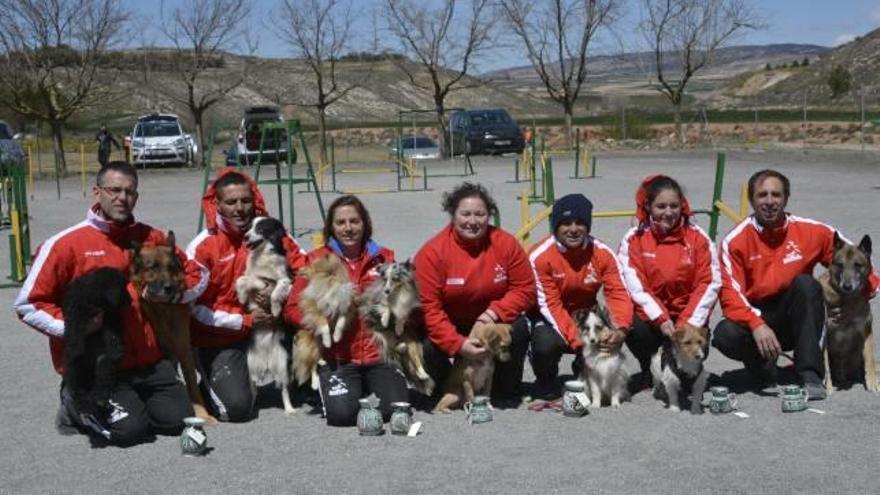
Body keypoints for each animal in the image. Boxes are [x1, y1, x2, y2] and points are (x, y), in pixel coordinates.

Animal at [62, 270, 131, 416]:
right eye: (123, 288)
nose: (130, 300)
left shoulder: (111, 317)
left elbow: (111, 334)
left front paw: (116, 346)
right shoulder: (76, 306)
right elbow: (75, 325)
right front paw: (75, 347)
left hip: (103, 365)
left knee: (103, 369)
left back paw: (98, 400)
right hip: (74, 369)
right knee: (77, 385)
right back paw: (83, 403)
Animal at [130, 231, 217, 424]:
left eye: (170, 267)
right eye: (152, 267)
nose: (169, 287)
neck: (164, 309)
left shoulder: (183, 348)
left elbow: (191, 382)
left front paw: (202, 415)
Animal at [360, 262, 434, 398]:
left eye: (395, 279)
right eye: (385, 279)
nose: (386, 291)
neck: (397, 293)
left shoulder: (407, 306)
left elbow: (401, 315)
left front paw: (399, 327)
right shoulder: (371, 302)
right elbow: (386, 307)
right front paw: (385, 319)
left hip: (411, 342)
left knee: (416, 361)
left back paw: (423, 374)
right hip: (383, 338)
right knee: (392, 349)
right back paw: (399, 347)